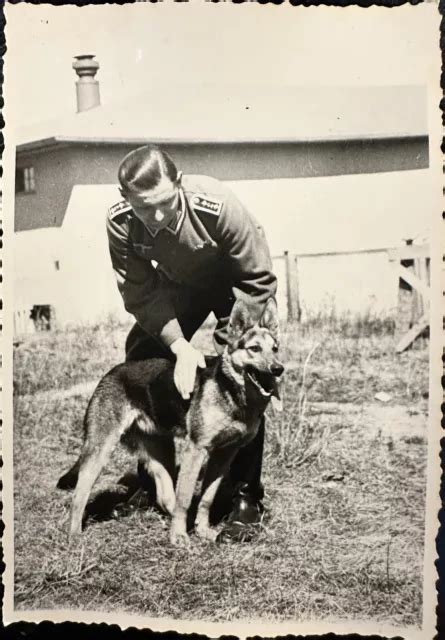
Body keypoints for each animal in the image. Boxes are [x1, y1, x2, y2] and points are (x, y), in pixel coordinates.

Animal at [57, 296, 282, 544]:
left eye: (275, 349)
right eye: (254, 349)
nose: (278, 369)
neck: (230, 389)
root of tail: (111, 373)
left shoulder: (224, 454)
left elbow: (206, 498)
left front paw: (202, 530)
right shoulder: (196, 450)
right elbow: (185, 496)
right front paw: (178, 536)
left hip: (161, 453)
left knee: (165, 497)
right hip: (100, 451)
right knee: (79, 495)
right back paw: (74, 535)